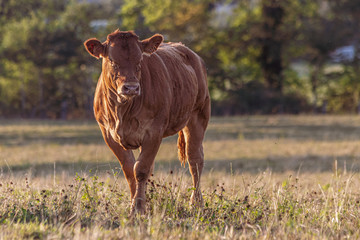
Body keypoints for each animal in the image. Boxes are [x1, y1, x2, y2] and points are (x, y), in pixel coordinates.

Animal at [84, 29, 211, 214]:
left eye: (140, 60)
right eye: (112, 61)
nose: (131, 87)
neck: (123, 111)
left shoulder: (153, 133)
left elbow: (141, 170)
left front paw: (137, 208)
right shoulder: (108, 134)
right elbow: (130, 170)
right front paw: (136, 204)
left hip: (198, 115)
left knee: (195, 160)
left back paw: (196, 203)